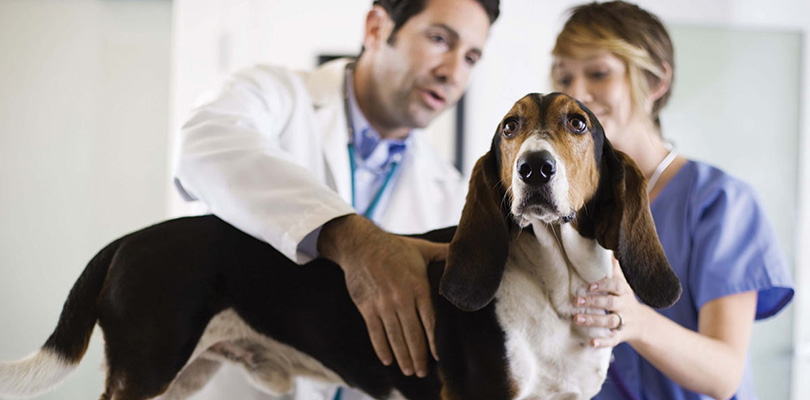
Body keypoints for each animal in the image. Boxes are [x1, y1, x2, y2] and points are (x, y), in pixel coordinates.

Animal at [1, 92, 680, 398]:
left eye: (578, 123)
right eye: (510, 127)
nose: (533, 169)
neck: (554, 285)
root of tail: (129, 240)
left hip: (180, 380)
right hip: (145, 372)